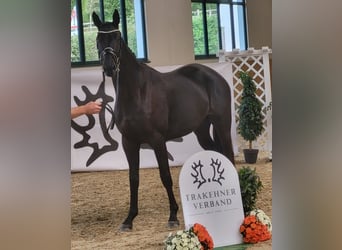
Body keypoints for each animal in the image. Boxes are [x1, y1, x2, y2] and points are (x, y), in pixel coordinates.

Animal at [92, 8, 234, 230]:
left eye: (117, 37)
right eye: (99, 38)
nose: (109, 68)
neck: (137, 93)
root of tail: (214, 76)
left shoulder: (157, 140)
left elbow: (165, 176)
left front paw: (173, 216)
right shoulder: (129, 142)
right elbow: (133, 178)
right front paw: (129, 219)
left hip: (222, 124)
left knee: (229, 155)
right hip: (202, 130)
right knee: (217, 153)